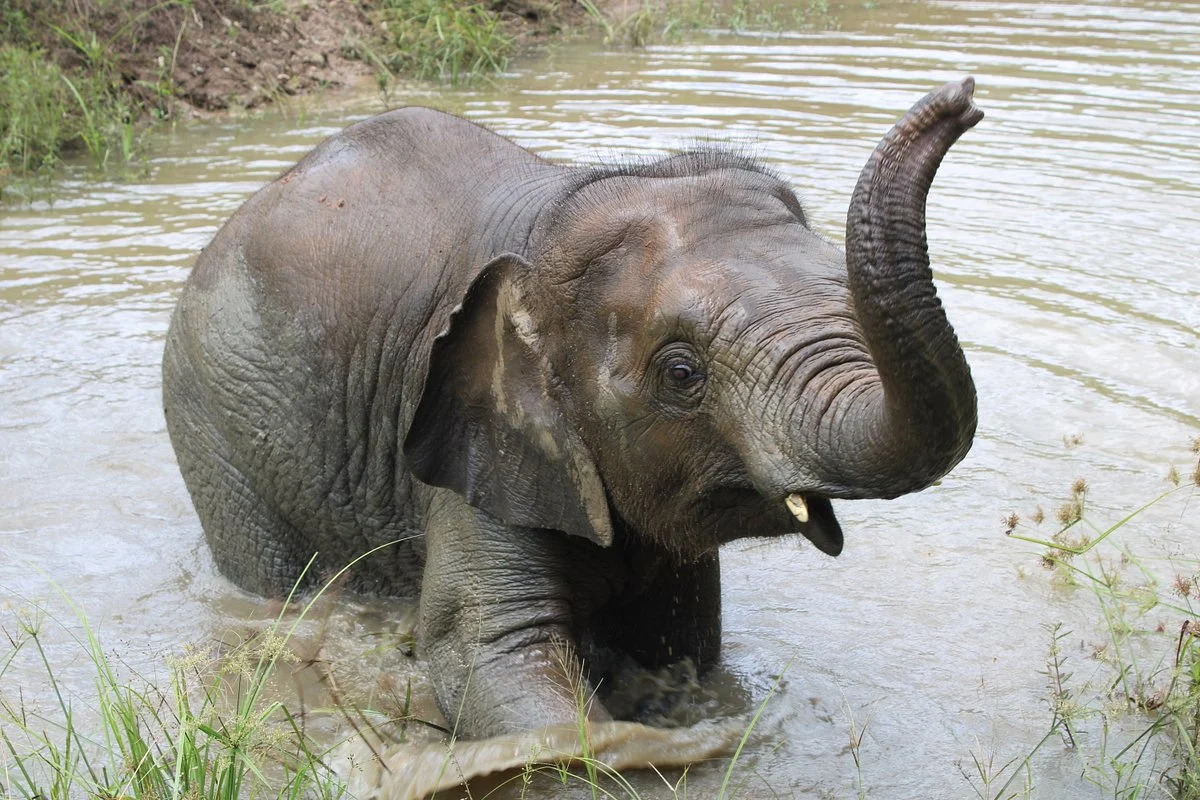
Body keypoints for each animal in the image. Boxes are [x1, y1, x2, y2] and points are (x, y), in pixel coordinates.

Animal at [162, 78, 982, 742]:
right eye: (681, 373)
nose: (966, 99)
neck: (557, 224)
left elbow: (682, 644)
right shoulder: (473, 440)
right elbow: (489, 656)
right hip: (211, 424)